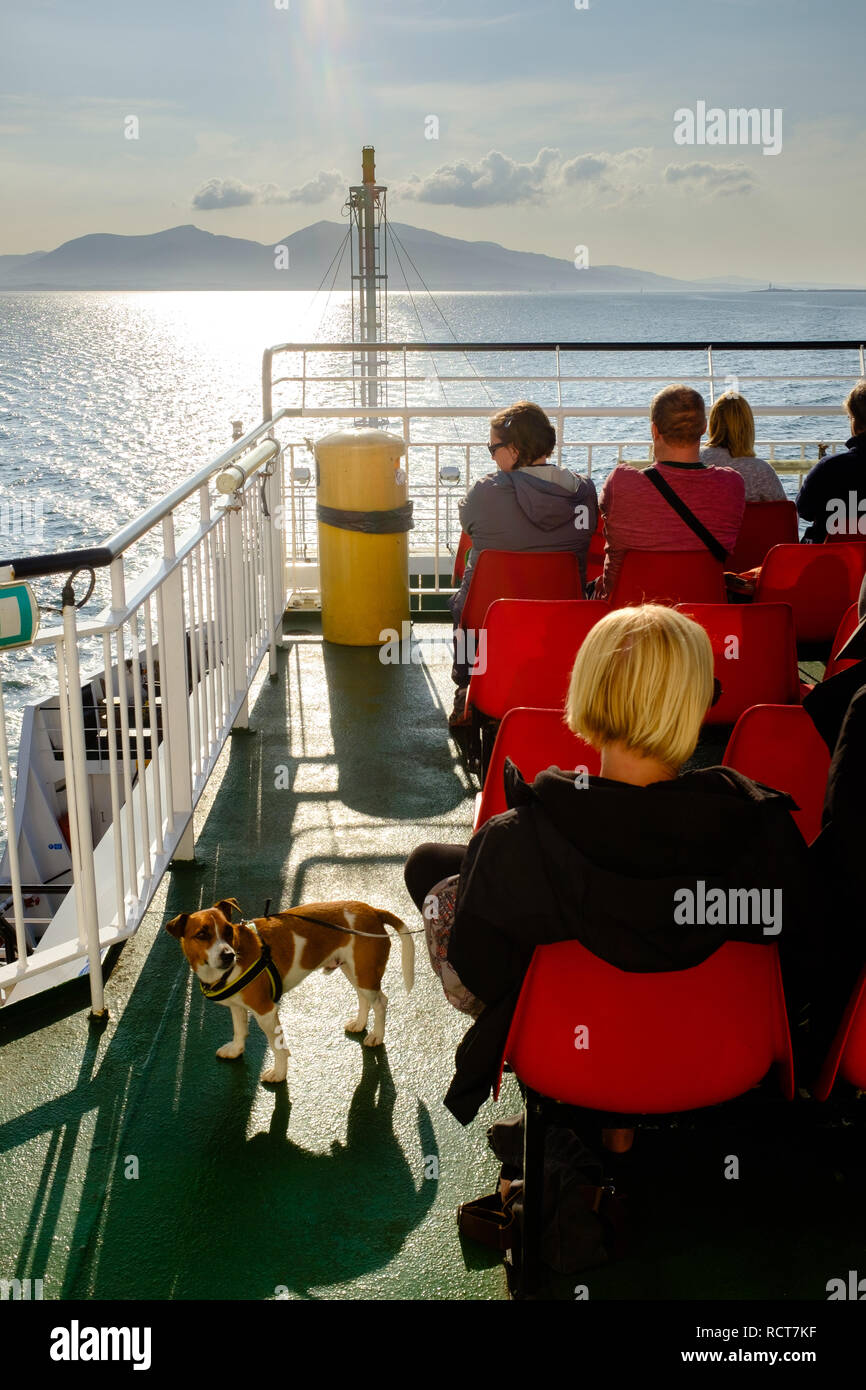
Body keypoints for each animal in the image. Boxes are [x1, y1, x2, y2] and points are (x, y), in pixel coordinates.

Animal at [167, 900, 419, 1084]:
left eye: (228, 931)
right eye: (201, 934)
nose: (228, 955)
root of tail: (373, 910)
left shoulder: (266, 1011)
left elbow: (278, 1047)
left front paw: (279, 1074)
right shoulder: (238, 1007)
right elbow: (240, 1031)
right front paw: (236, 1050)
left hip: (365, 974)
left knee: (381, 1002)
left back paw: (376, 1035)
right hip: (354, 971)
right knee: (364, 998)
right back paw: (359, 1023)